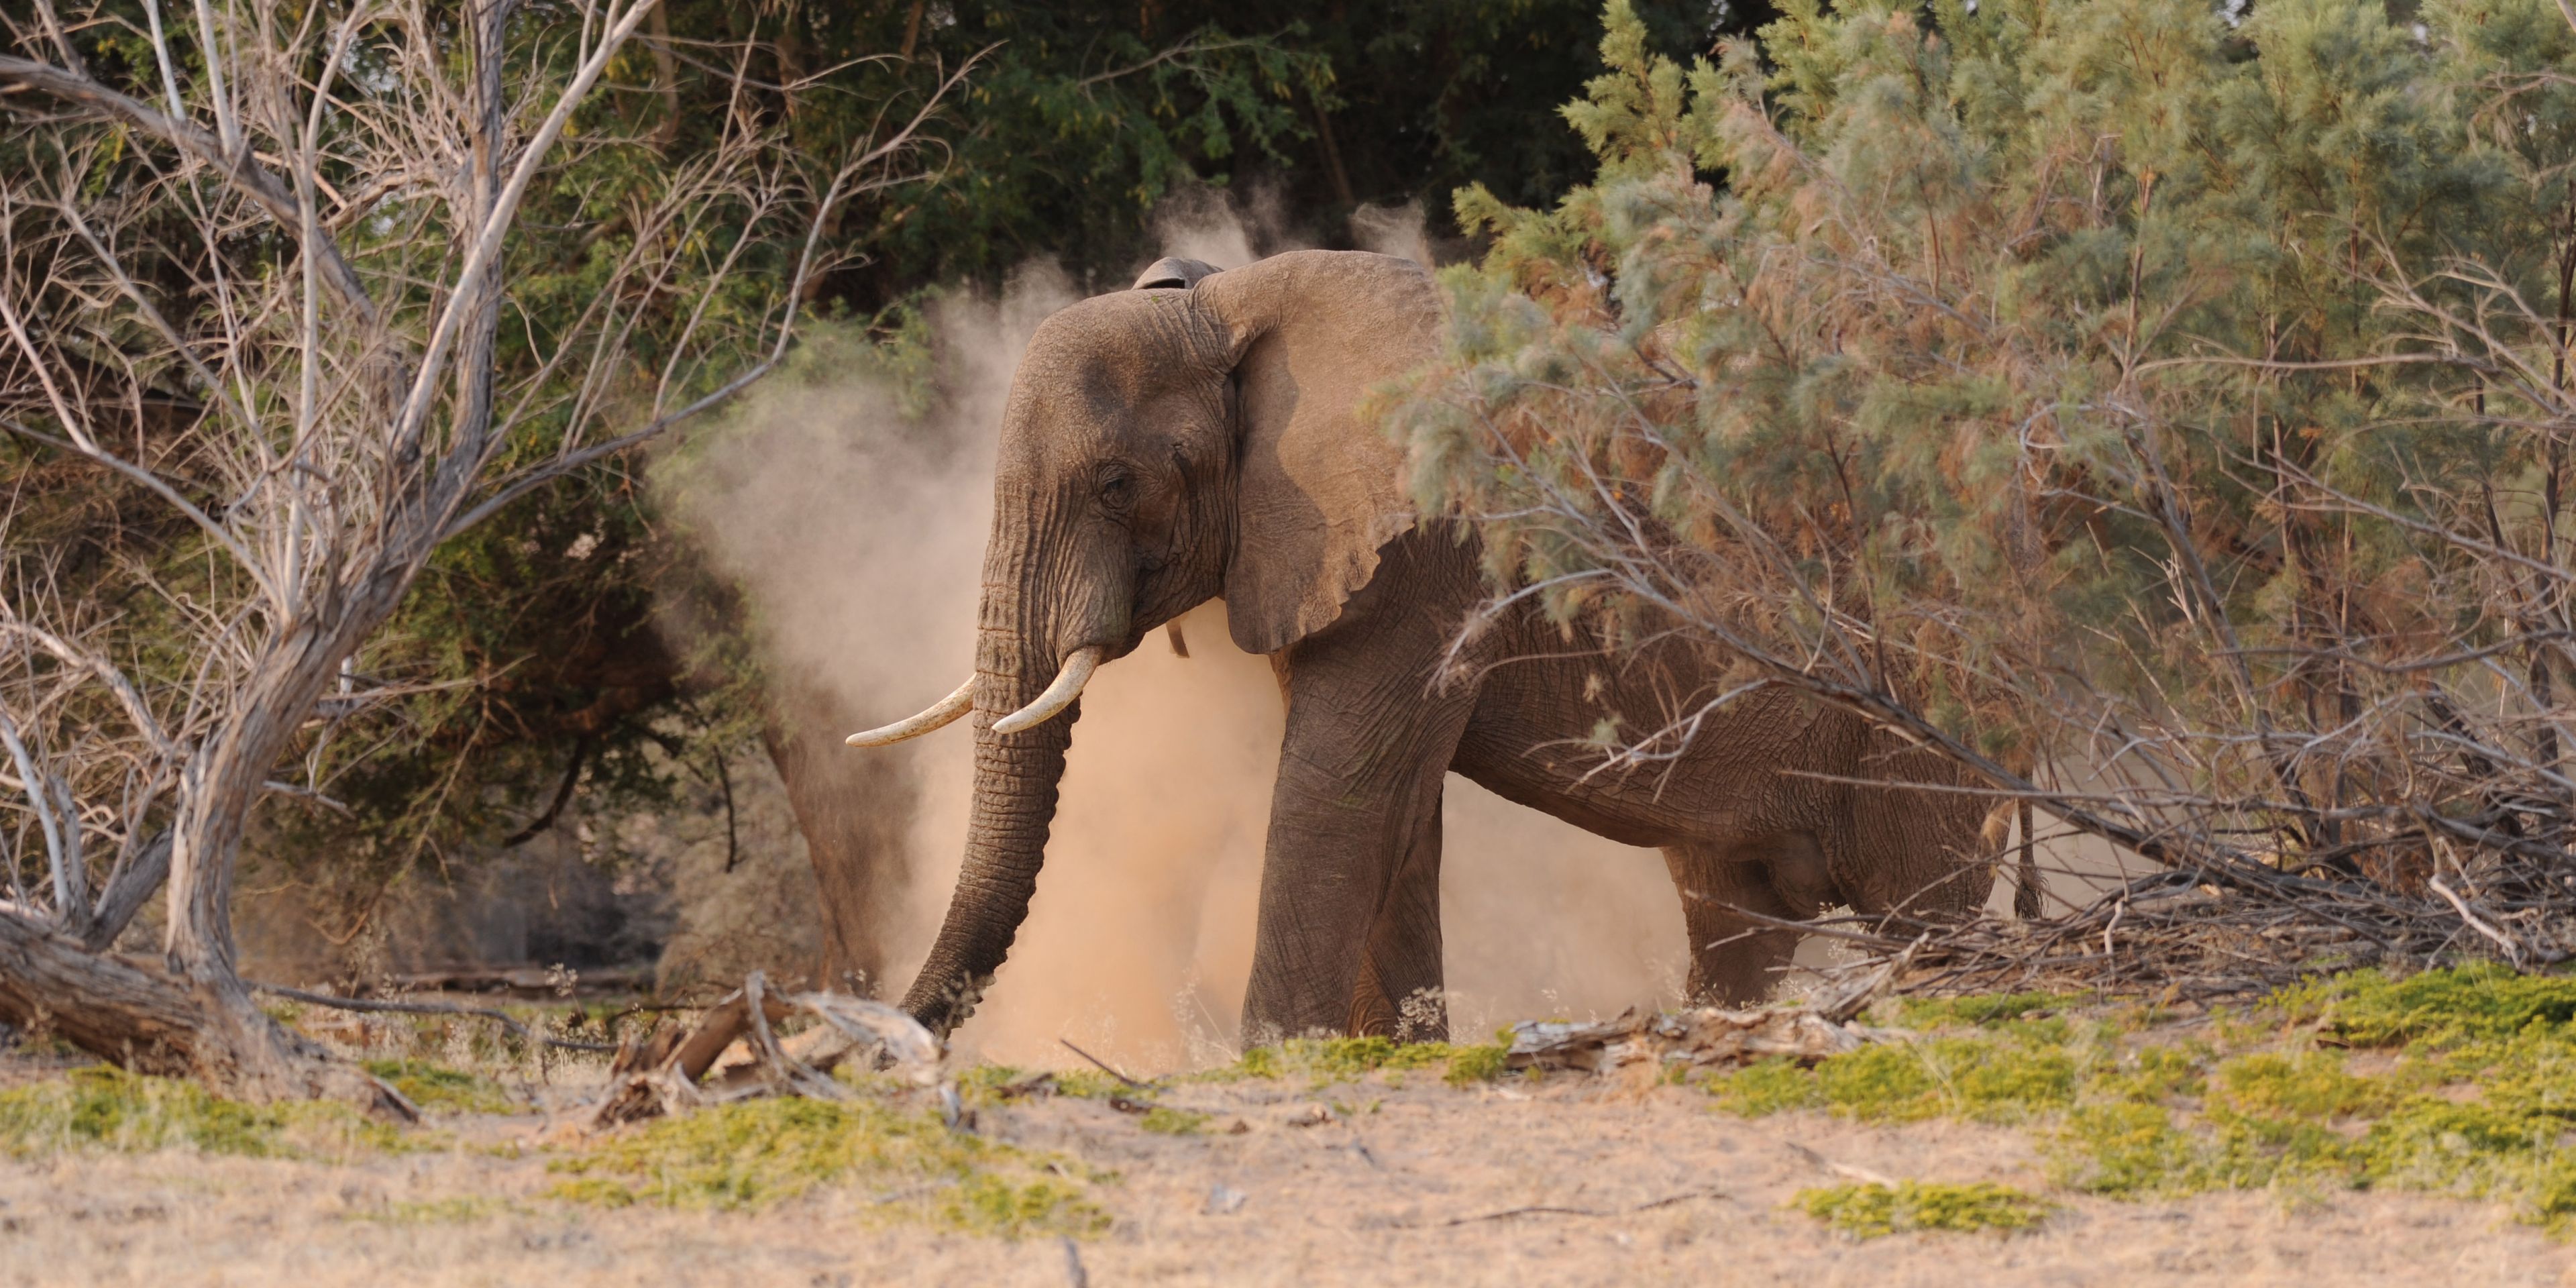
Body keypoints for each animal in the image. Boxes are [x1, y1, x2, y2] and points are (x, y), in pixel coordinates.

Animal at [848, 249, 2008, 1044]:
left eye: (1117, 483)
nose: (879, 1038)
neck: (1228, 308)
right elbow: (1397, 814)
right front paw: (1395, 1051)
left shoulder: (1428, 550)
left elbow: (1339, 794)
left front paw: (1275, 1058)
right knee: (1735, 920)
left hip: (1926, 715)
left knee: (1924, 903)